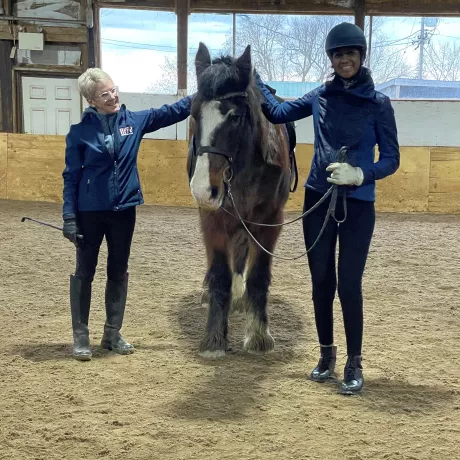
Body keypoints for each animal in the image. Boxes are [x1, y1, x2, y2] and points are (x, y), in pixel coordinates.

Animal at [187, 43, 292, 358]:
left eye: (234, 117)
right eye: (194, 114)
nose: (202, 189)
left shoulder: (270, 221)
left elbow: (258, 275)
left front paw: (258, 335)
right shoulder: (212, 218)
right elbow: (220, 274)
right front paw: (214, 340)